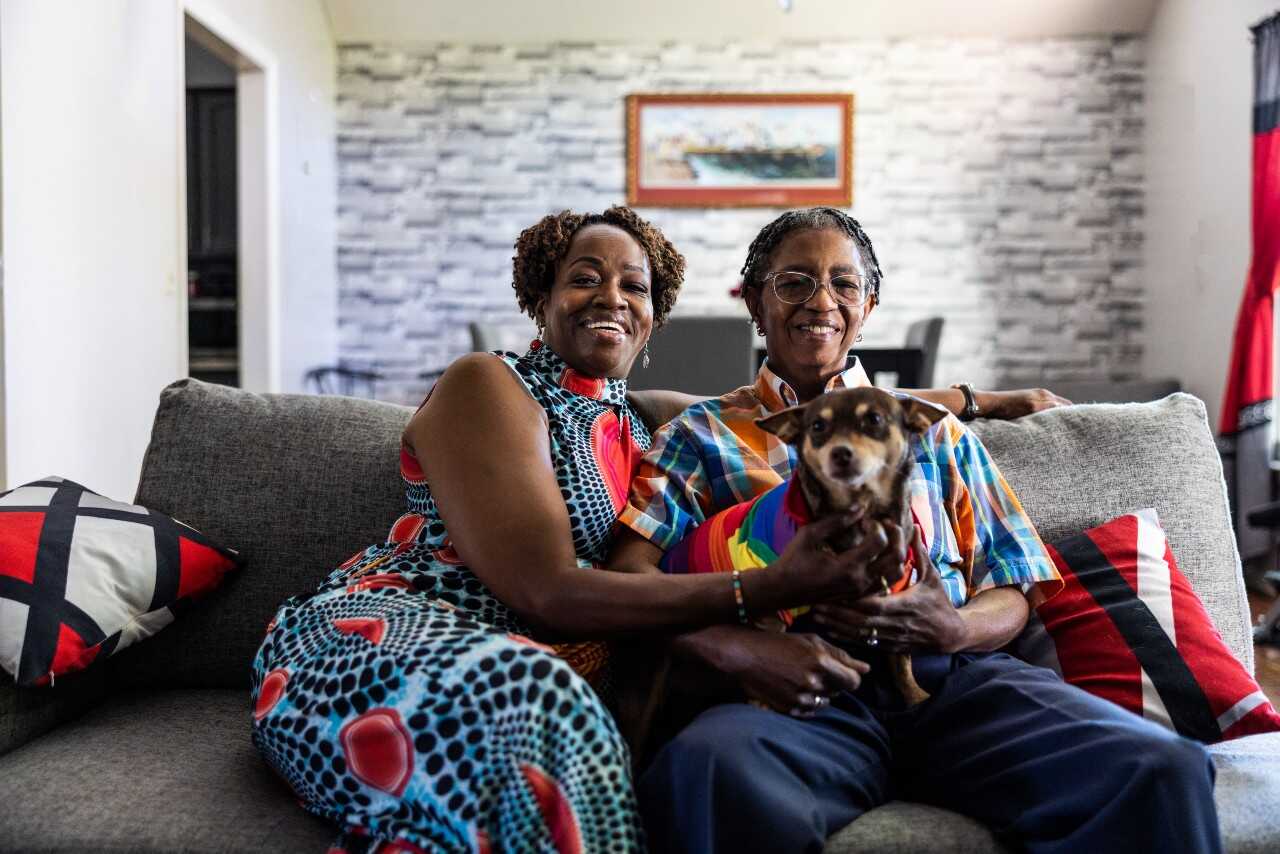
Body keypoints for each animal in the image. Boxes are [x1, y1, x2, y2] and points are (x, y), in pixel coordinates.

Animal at [757, 386, 952, 706]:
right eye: (817, 426)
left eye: (873, 419)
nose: (840, 452)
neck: (862, 508)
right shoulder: (772, 614)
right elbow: (773, 652)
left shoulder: (895, 605)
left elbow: (902, 660)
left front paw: (915, 695)